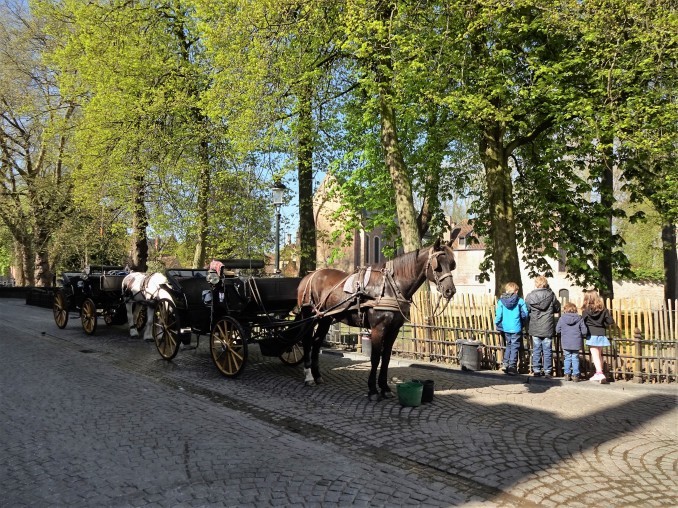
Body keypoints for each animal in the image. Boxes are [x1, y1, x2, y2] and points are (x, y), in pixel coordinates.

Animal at [296, 239, 456, 400]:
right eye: (438, 265)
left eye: (452, 264)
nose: (451, 290)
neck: (391, 287)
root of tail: (309, 276)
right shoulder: (378, 329)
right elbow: (375, 358)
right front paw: (373, 389)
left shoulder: (394, 330)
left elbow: (385, 358)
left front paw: (384, 388)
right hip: (309, 316)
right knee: (307, 342)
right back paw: (309, 377)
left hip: (325, 319)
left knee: (316, 342)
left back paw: (317, 376)